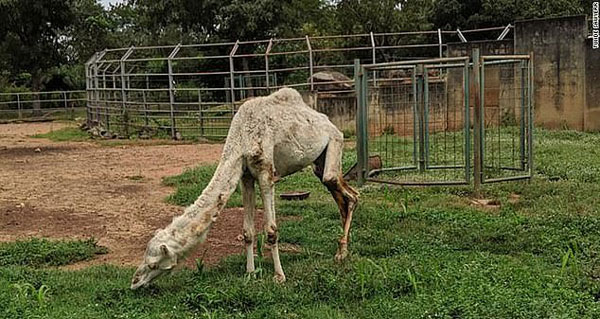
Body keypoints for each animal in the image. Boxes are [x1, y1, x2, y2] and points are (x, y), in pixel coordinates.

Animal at [129, 87, 358, 290]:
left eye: (153, 264)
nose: (134, 282)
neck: (241, 137)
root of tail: (330, 123)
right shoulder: (246, 176)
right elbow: (247, 232)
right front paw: (250, 273)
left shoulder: (266, 173)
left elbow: (271, 230)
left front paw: (279, 276)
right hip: (318, 163)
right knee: (341, 194)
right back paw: (342, 249)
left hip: (334, 143)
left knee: (350, 193)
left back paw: (342, 253)